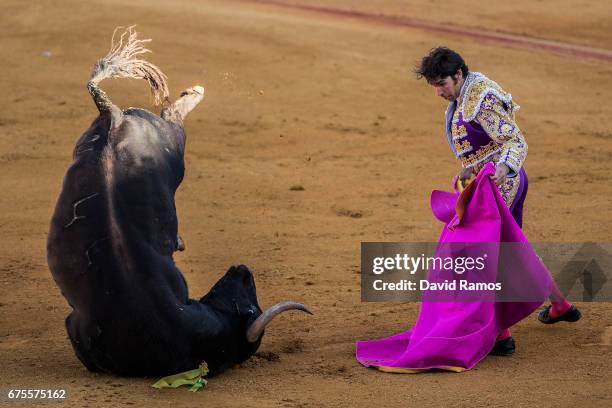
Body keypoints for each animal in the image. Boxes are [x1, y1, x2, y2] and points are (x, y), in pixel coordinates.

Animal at [46, 28, 310, 378]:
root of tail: (113, 115)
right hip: (175, 150)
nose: (242, 268)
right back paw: (194, 93)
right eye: (250, 308)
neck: (183, 333)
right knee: (173, 116)